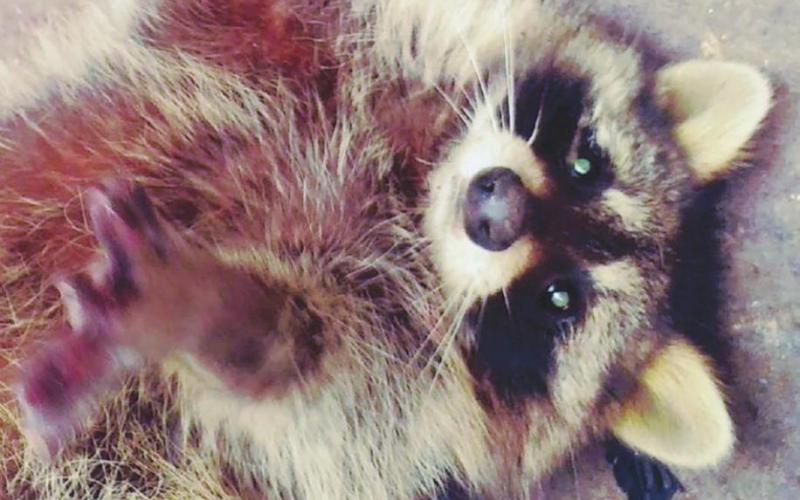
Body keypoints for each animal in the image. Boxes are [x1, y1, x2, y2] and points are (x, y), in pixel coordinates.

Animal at [0, 0, 772, 499]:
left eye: (560, 298)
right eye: (586, 163)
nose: (496, 207)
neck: (414, 189)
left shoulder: (389, 382)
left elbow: (303, 378)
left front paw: (209, 311)